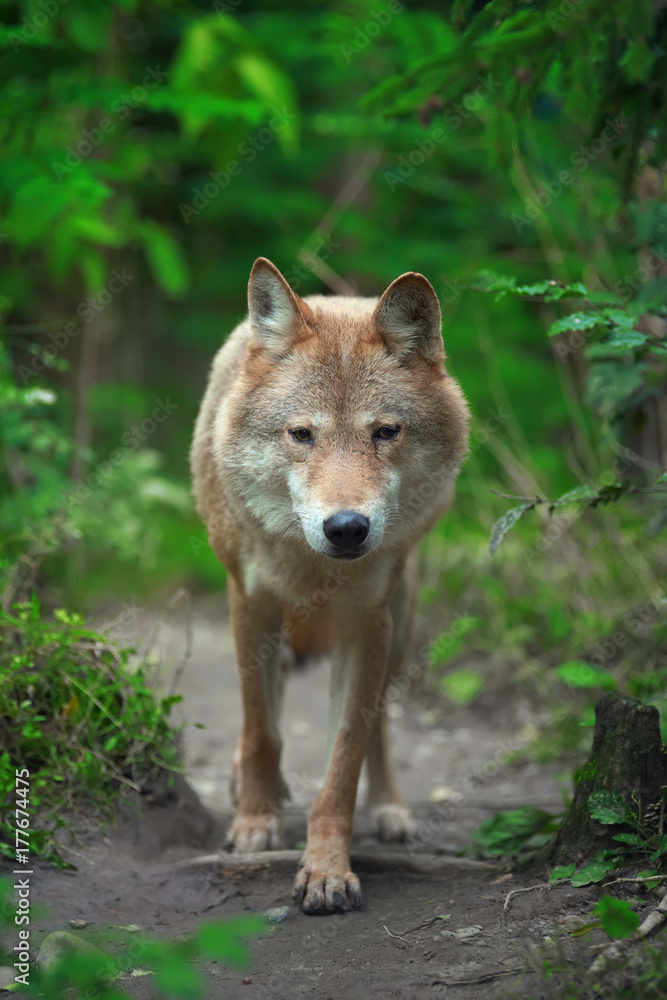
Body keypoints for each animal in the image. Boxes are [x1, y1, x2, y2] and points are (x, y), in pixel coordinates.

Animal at [190, 258, 472, 916]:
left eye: (385, 432)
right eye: (302, 435)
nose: (346, 528)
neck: (312, 570)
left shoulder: (367, 624)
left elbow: (343, 763)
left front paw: (326, 872)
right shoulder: (249, 605)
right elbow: (261, 730)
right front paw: (254, 824)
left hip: (402, 617)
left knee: (382, 728)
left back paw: (391, 811)